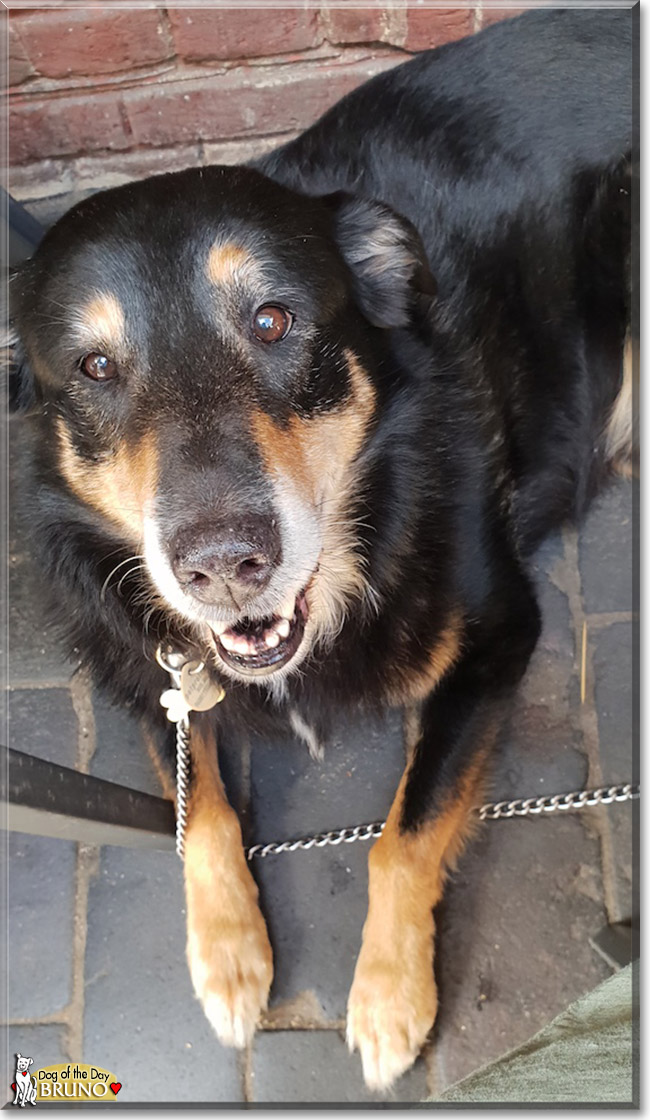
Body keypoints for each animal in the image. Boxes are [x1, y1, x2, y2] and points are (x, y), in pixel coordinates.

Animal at [7, 8, 632, 1093]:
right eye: (93, 368)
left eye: (273, 319)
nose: (222, 565)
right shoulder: (154, 673)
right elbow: (199, 811)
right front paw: (227, 956)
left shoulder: (498, 632)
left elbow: (403, 833)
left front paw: (387, 998)